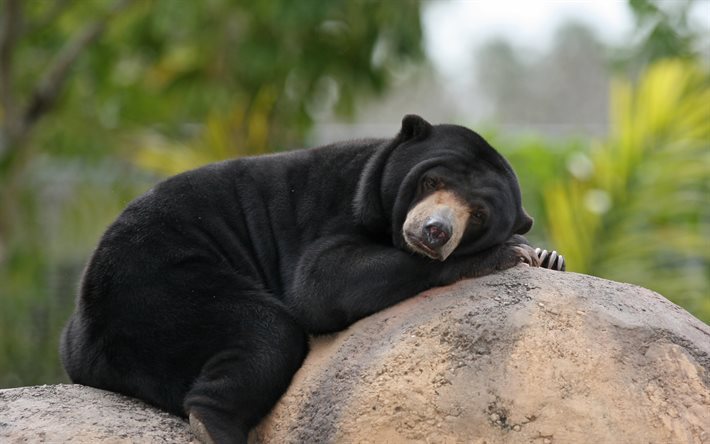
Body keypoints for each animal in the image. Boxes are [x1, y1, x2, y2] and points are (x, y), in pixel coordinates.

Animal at [60, 114, 564, 444]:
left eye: (477, 214)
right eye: (431, 181)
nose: (435, 231)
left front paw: (548, 255)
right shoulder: (337, 208)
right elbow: (320, 283)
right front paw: (510, 253)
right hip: (159, 283)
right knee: (266, 333)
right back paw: (214, 425)